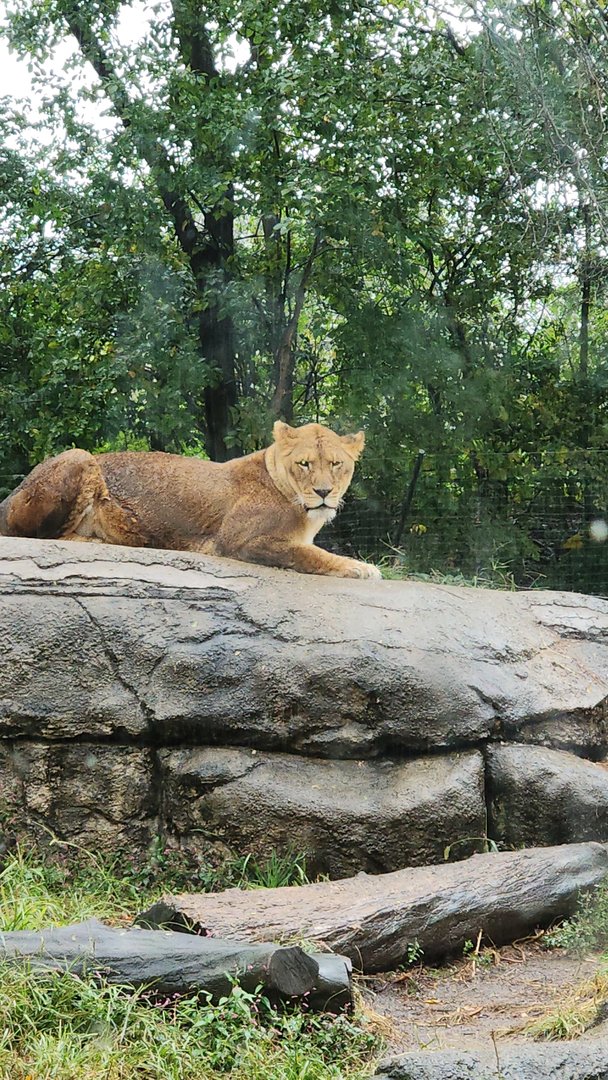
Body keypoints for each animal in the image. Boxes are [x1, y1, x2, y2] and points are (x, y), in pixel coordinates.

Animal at [0, 422, 381, 579]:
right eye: (304, 464)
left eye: (336, 464)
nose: (323, 492)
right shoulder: (241, 541)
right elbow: (308, 554)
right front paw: (361, 568)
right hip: (80, 456)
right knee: (39, 535)